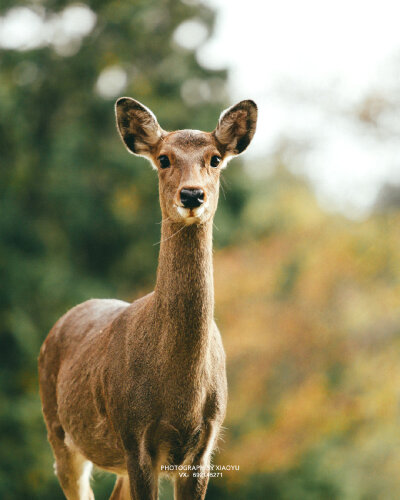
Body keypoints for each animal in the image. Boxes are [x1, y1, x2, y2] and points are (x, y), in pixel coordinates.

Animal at [37, 94, 256, 500]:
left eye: (215, 159)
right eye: (164, 158)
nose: (192, 194)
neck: (180, 397)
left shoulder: (203, 446)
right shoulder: (134, 436)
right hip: (58, 431)